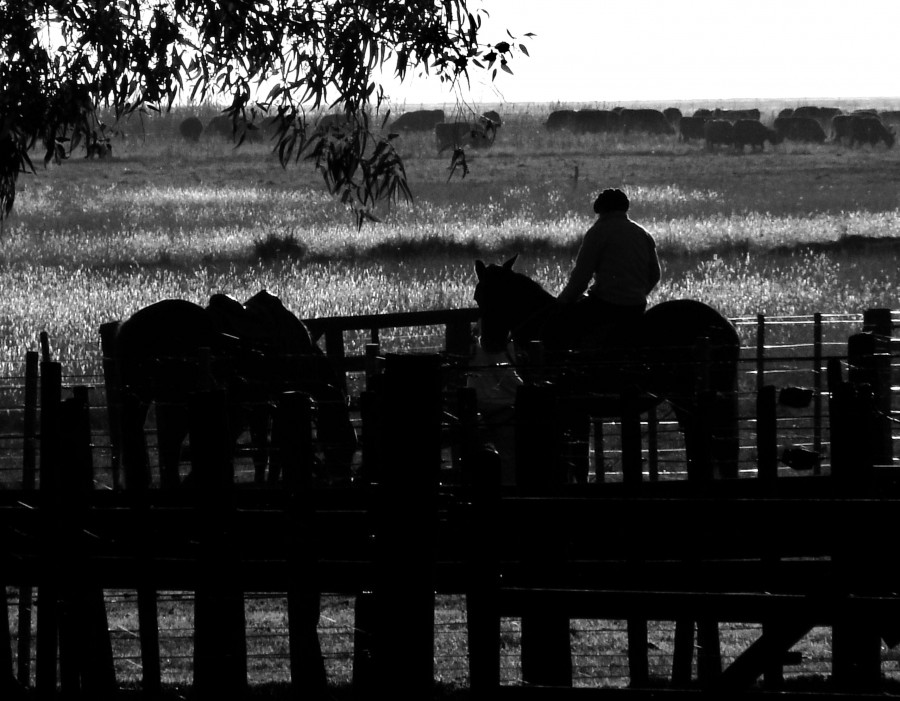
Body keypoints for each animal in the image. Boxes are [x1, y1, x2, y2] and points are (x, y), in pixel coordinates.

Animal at [114, 288, 360, 486]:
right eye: (343, 441)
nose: (344, 479)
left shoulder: (254, 407)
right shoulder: (264, 406)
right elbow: (266, 452)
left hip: (142, 400)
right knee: (169, 446)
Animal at [472, 256, 740, 482]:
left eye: (500, 296)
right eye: (478, 297)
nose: (489, 342)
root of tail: (723, 325)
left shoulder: (571, 409)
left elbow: (576, 461)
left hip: (688, 397)